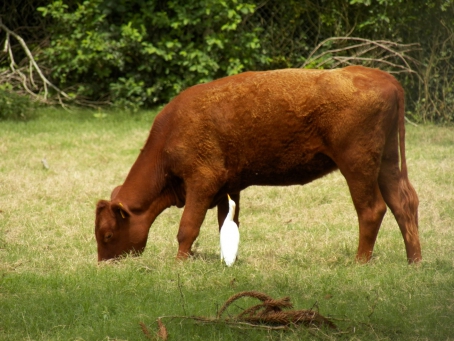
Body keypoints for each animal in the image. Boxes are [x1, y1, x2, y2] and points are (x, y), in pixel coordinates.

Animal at [96, 65, 422, 262]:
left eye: (108, 234)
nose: (104, 263)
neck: (171, 133)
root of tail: (384, 77)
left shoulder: (202, 183)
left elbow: (187, 227)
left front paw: (179, 264)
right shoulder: (228, 189)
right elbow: (227, 225)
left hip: (357, 165)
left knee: (372, 209)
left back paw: (359, 262)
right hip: (386, 162)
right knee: (403, 203)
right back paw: (414, 261)